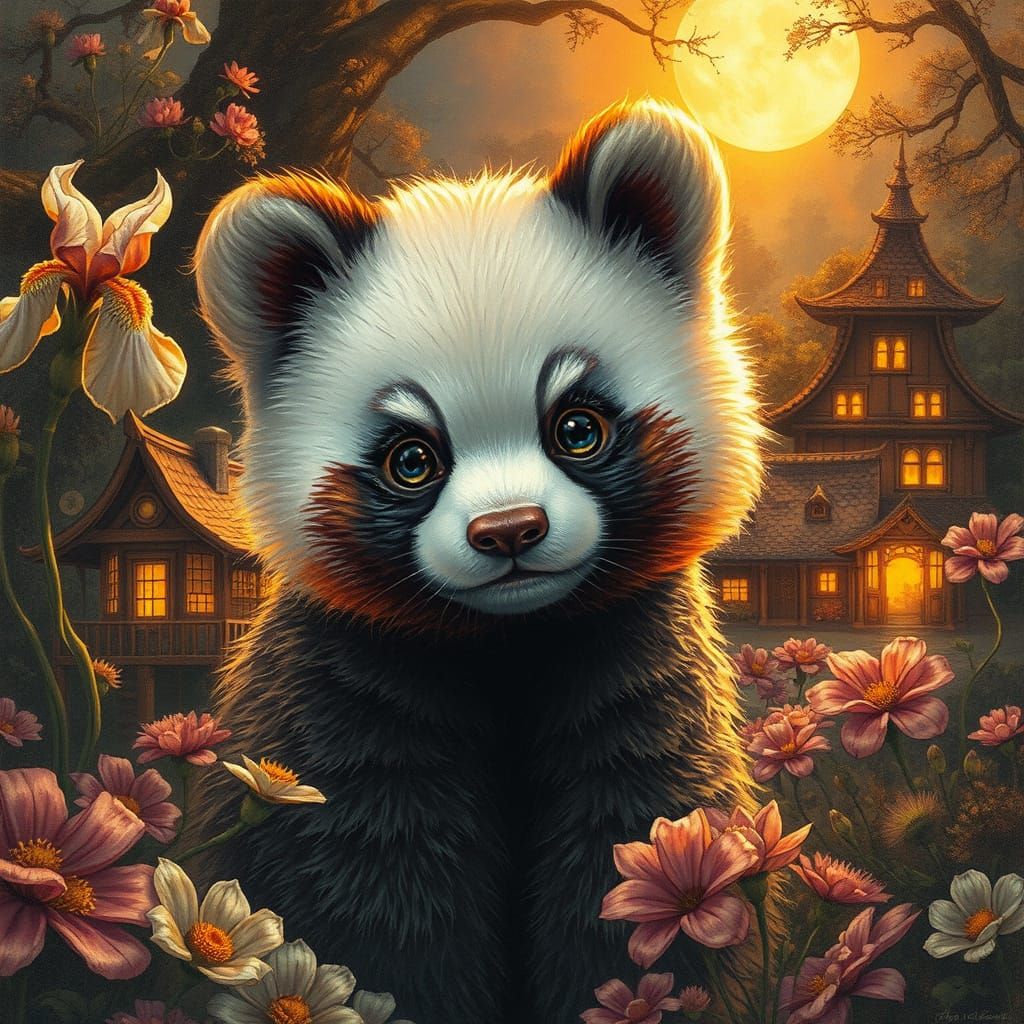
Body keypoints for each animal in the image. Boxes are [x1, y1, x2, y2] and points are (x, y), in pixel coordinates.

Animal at [189, 99, 765, 1024]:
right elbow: (360, 896)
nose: (508, 531)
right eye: (410, 459)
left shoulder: (641, 665)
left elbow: (643, 847)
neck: (509, 637)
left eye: (578, 427)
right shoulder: (342, 693)